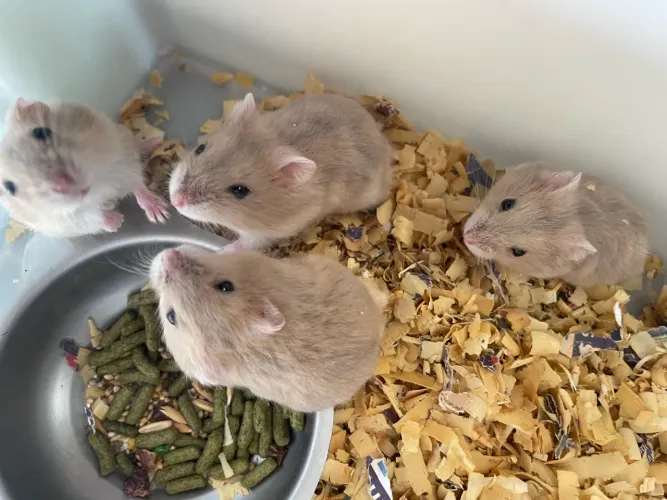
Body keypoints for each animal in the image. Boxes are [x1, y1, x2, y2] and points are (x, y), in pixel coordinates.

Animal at [0, 98, 169, 238]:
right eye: (9, 187)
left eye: (41, 132)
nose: (65, 184)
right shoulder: (60, 223)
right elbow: (91, 218)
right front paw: (118, 222)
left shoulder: (122, 158)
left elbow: (136, 184)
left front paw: (161, 214)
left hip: (124, 135)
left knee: (138, 147)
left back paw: (156, 142)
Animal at [169, 92, 393, 252]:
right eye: (200, 148)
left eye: (240, 191)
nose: (176, 200)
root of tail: (381, 136)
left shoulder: (267, 233)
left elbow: (247, 244)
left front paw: (225, 251)